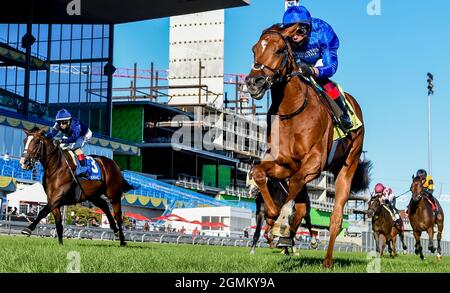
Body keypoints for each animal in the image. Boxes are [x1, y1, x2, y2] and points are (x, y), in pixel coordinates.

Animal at [246, 24, 370, 266]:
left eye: (278, 50)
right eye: (255, 49)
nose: (254, 82)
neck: (292, 110)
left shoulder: (314, 163)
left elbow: (293, 189)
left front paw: (282, 222)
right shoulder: (283, 163)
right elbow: (259, 173)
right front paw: (274, 217)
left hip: (347, 166)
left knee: (335, 216)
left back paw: (327, 260)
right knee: (303, 206)